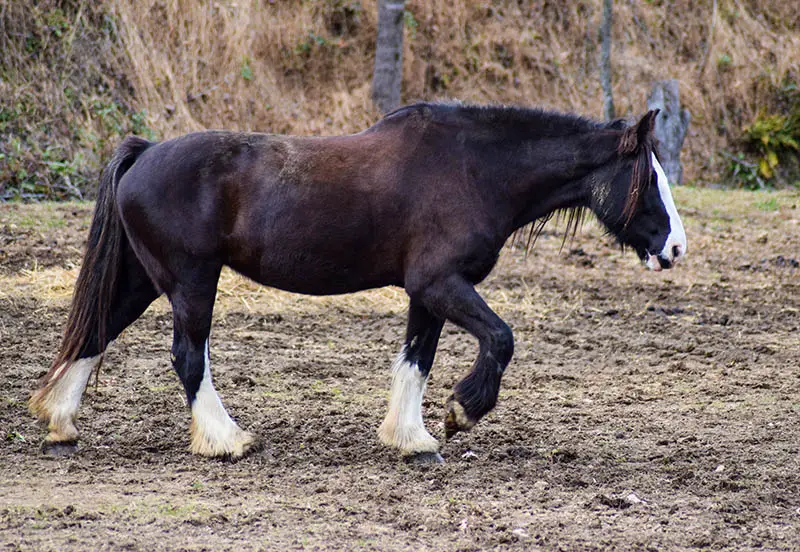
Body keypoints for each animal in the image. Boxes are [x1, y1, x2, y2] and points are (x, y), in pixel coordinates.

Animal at [28, 101, 684, 464]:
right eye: (647, 177)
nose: (675, 248)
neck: (474, 170)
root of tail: (144, 153)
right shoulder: (442, 283)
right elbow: (501, 338)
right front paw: (461, 412)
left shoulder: (428, 292)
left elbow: (416, 359)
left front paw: (412, 439)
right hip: (191, 281)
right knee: (188, 356)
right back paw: (226, 440)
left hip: (144, 278)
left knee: (94, 335)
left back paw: (61, 424)